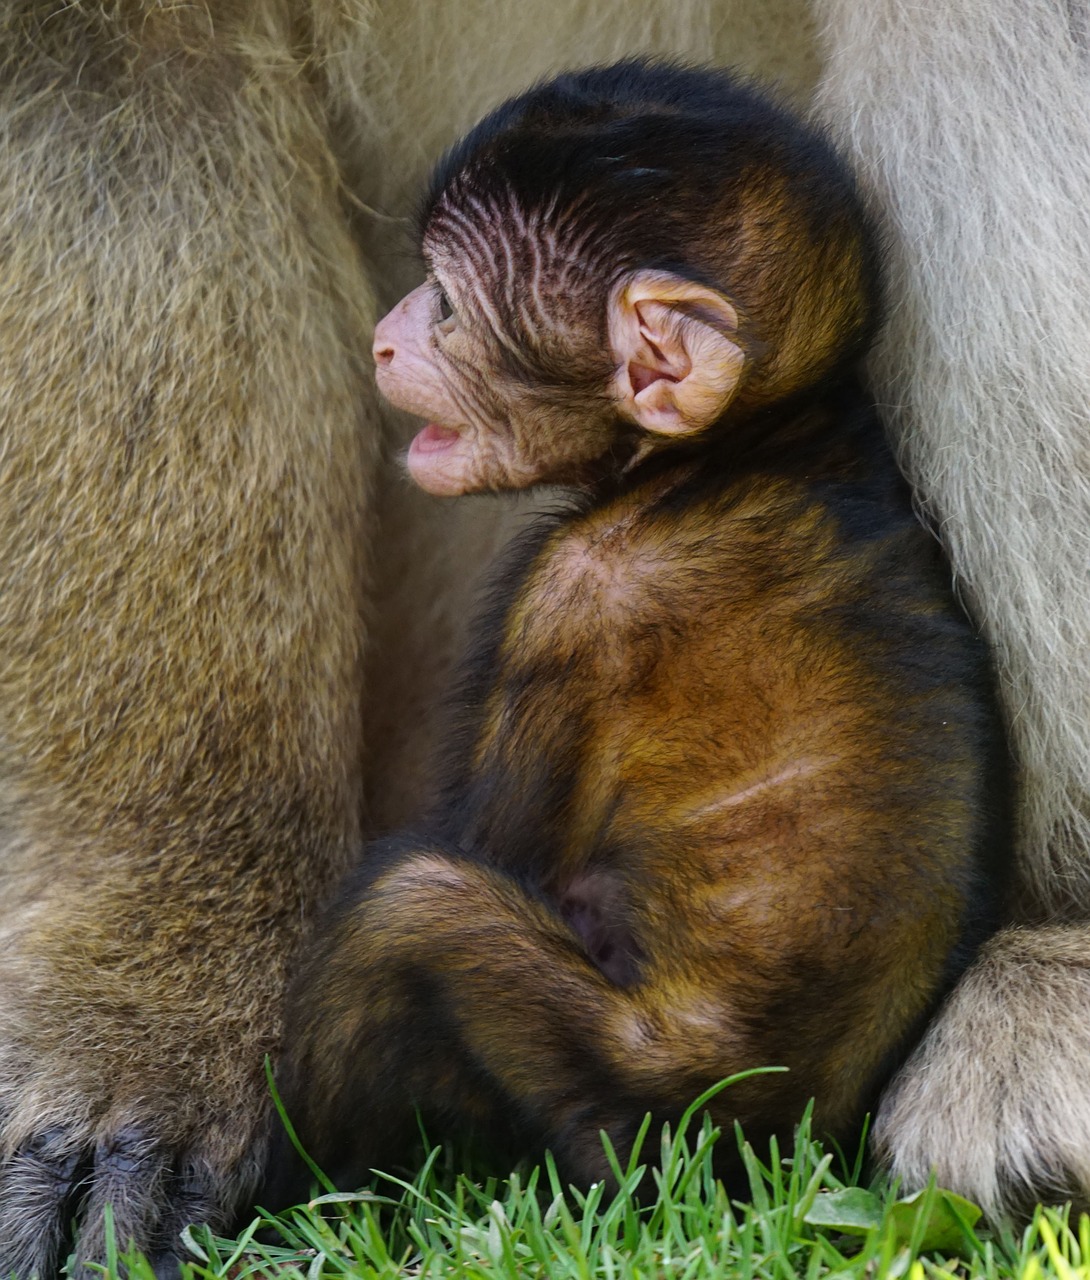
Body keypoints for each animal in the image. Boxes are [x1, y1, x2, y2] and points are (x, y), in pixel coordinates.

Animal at [268, 60, 1008, 1198]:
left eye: (445, 305)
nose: (384, 336)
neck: (749, 442)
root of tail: (771, 1137)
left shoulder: (573, 592)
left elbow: (486, 845)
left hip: (634, 1104)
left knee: (412, 905)